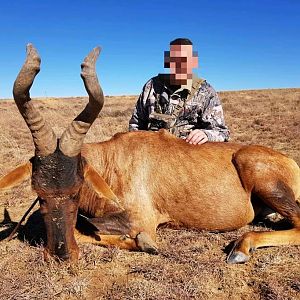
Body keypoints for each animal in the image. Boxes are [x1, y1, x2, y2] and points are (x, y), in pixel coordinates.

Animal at [0, 44, 298, 262]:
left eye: (76, 190)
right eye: (39, 194)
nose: (60, 256)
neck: (113, 160)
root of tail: (290, 161)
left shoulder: (141, 220)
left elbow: (88, 228)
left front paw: (145, 244)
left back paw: (240, 249)